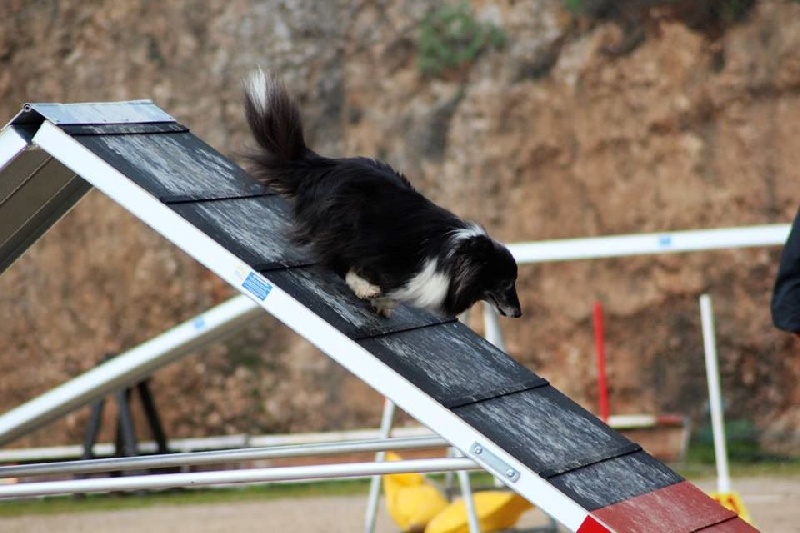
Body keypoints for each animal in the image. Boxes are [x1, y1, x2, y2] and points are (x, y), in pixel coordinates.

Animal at [241, 70, 520, 320]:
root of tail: (327, 165)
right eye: (506, 282)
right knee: (336, 256)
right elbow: (355, 269)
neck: (457, 258)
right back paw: (364, 286)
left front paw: (383, 304)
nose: (519, 313)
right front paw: (369, 291)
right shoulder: (386, 256)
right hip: (347, 221)